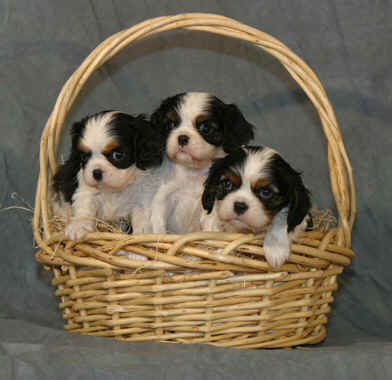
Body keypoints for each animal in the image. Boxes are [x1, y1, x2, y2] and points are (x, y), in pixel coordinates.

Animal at [52, 110, 162, 240]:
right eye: (84, 157)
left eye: (118, 155)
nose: (96, 172)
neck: (113, 190)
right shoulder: (85, 189)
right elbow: (85, 206)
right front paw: (79, 225)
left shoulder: (140, 198)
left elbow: (141, 215)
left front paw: (143, 234)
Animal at [149, 92, 254, 235]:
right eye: (171, 124)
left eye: (205, 128)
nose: (182, 137)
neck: (193, 171)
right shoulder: (166, 196)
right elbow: (158, 220)